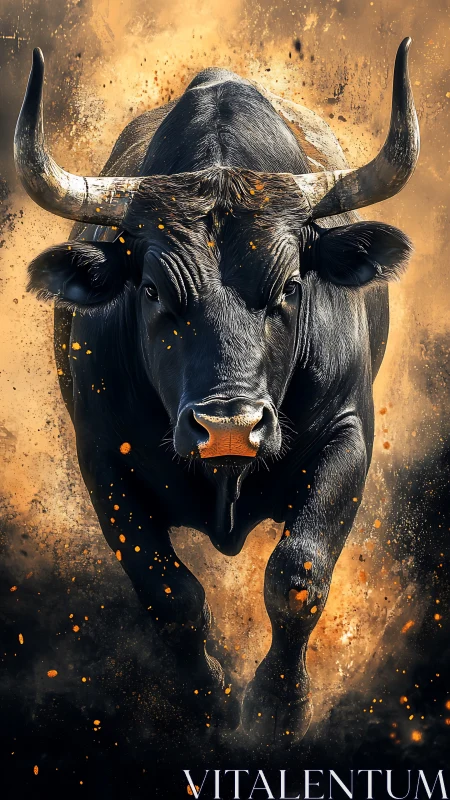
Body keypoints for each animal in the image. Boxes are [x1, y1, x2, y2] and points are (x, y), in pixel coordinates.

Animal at [14, 39, 419, 744]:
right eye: (152, 290)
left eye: (290, 286)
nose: (230, 427)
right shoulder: (101, 460)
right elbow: (169, 595)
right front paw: (209, 702)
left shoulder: (348, 439)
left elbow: (298, 577)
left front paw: (279, 707)